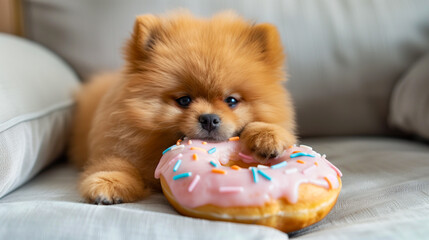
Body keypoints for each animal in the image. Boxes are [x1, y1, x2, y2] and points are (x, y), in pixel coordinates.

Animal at [69, 11, 294, 204]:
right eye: (184, 100)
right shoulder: (118, 143)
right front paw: (109, 183)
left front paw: (267, 137)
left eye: (231, 101)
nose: (209, 119)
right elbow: (116, 163)